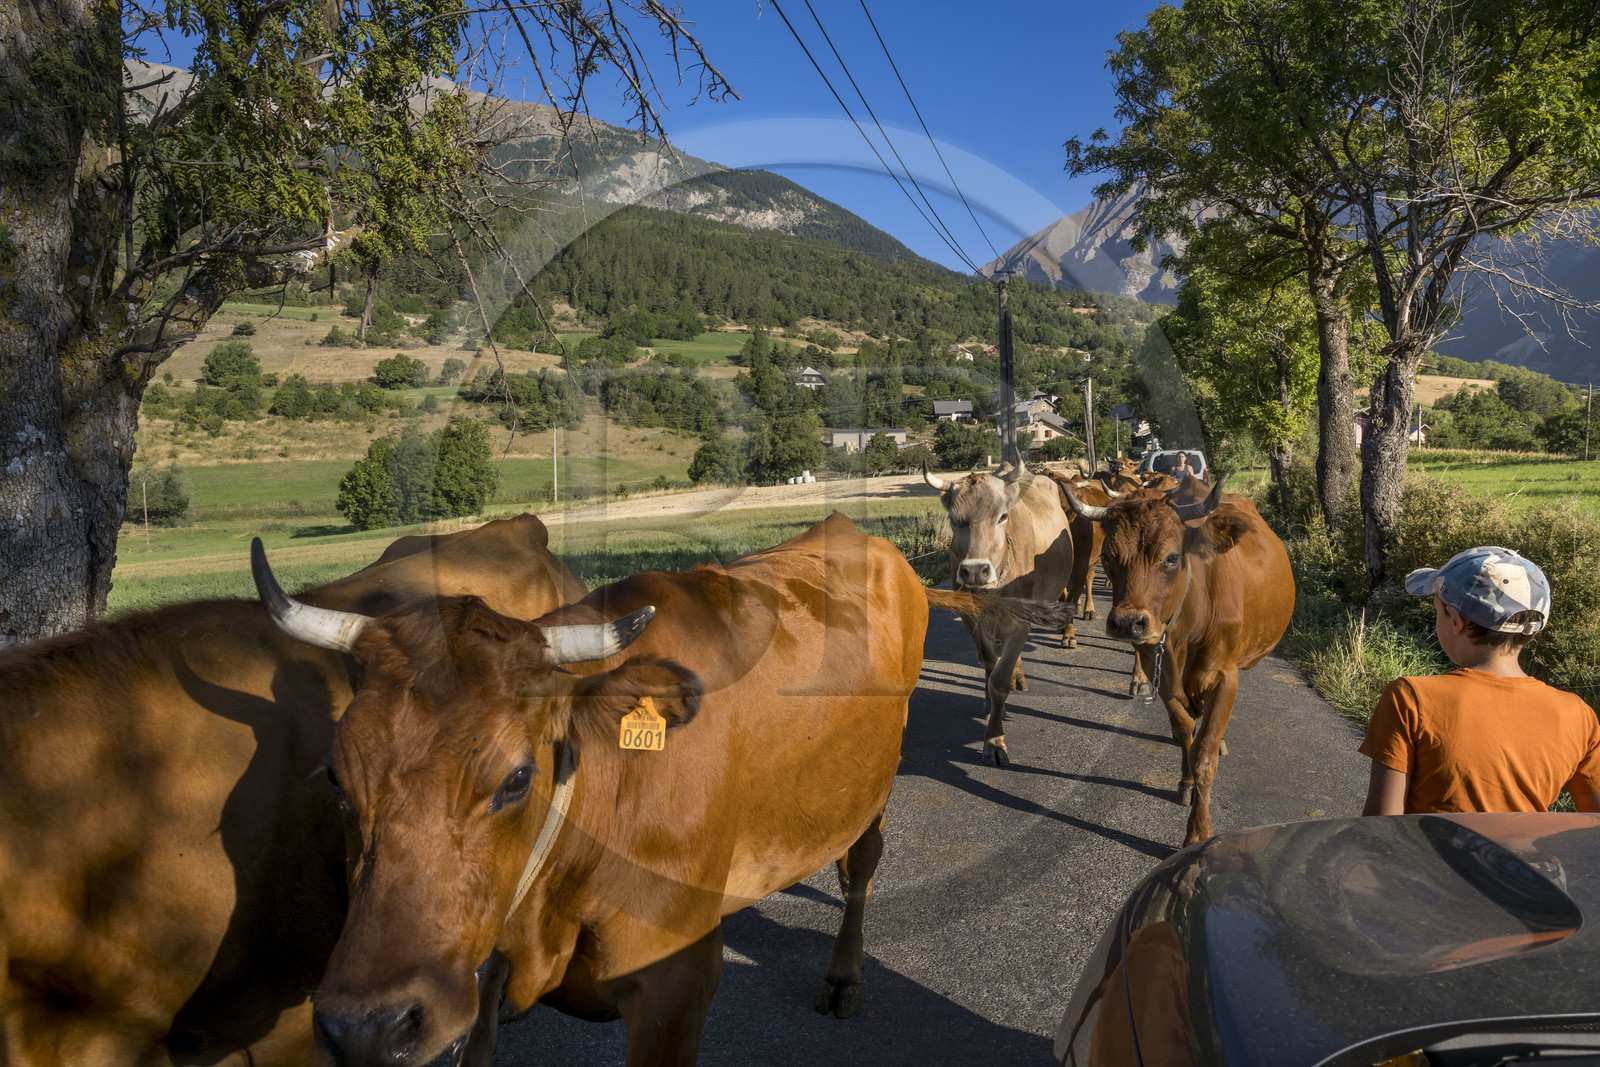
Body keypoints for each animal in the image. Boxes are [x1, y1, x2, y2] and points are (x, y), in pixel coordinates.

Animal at [248, 512, 1070, 1065]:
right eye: (336, 776)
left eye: (518, 777)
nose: (369, 1026)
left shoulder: (675, 986)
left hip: (872, 788)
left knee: (859, 872)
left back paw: (844, 974)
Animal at [924, 462, 1074, 767]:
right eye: (954, 520)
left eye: (1002, 516)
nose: (974, 571)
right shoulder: (971, 619)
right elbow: (988, 662)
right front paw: (989, 705)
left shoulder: (1020, 623)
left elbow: (1000, 680)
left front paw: (994, 742)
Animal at [1060, 477, 1295, 846]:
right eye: (1109, 557)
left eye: (1171, 558)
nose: (1127, 623)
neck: (1189, 625)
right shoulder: (1164, 677)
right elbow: (1185, 731)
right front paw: (1186, 782)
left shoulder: (1225, 677)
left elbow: (1205, 756)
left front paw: (1198, 832)